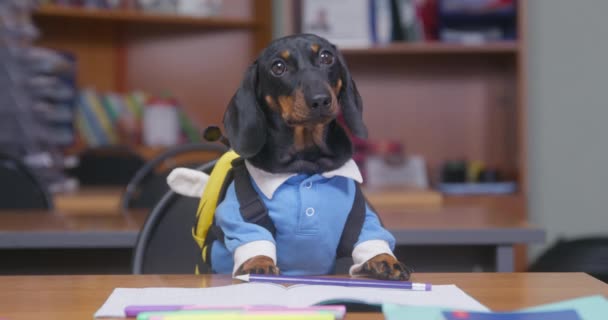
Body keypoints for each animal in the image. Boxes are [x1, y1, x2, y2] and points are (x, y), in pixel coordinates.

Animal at [216, 33, 410, 280]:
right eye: (278, 67)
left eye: (326, 57)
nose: (320, 100)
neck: (307, 164)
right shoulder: (238, 216)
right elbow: (254, 239)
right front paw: (257, 263)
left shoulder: (364, 216)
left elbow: (371, 238)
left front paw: (384, 259)